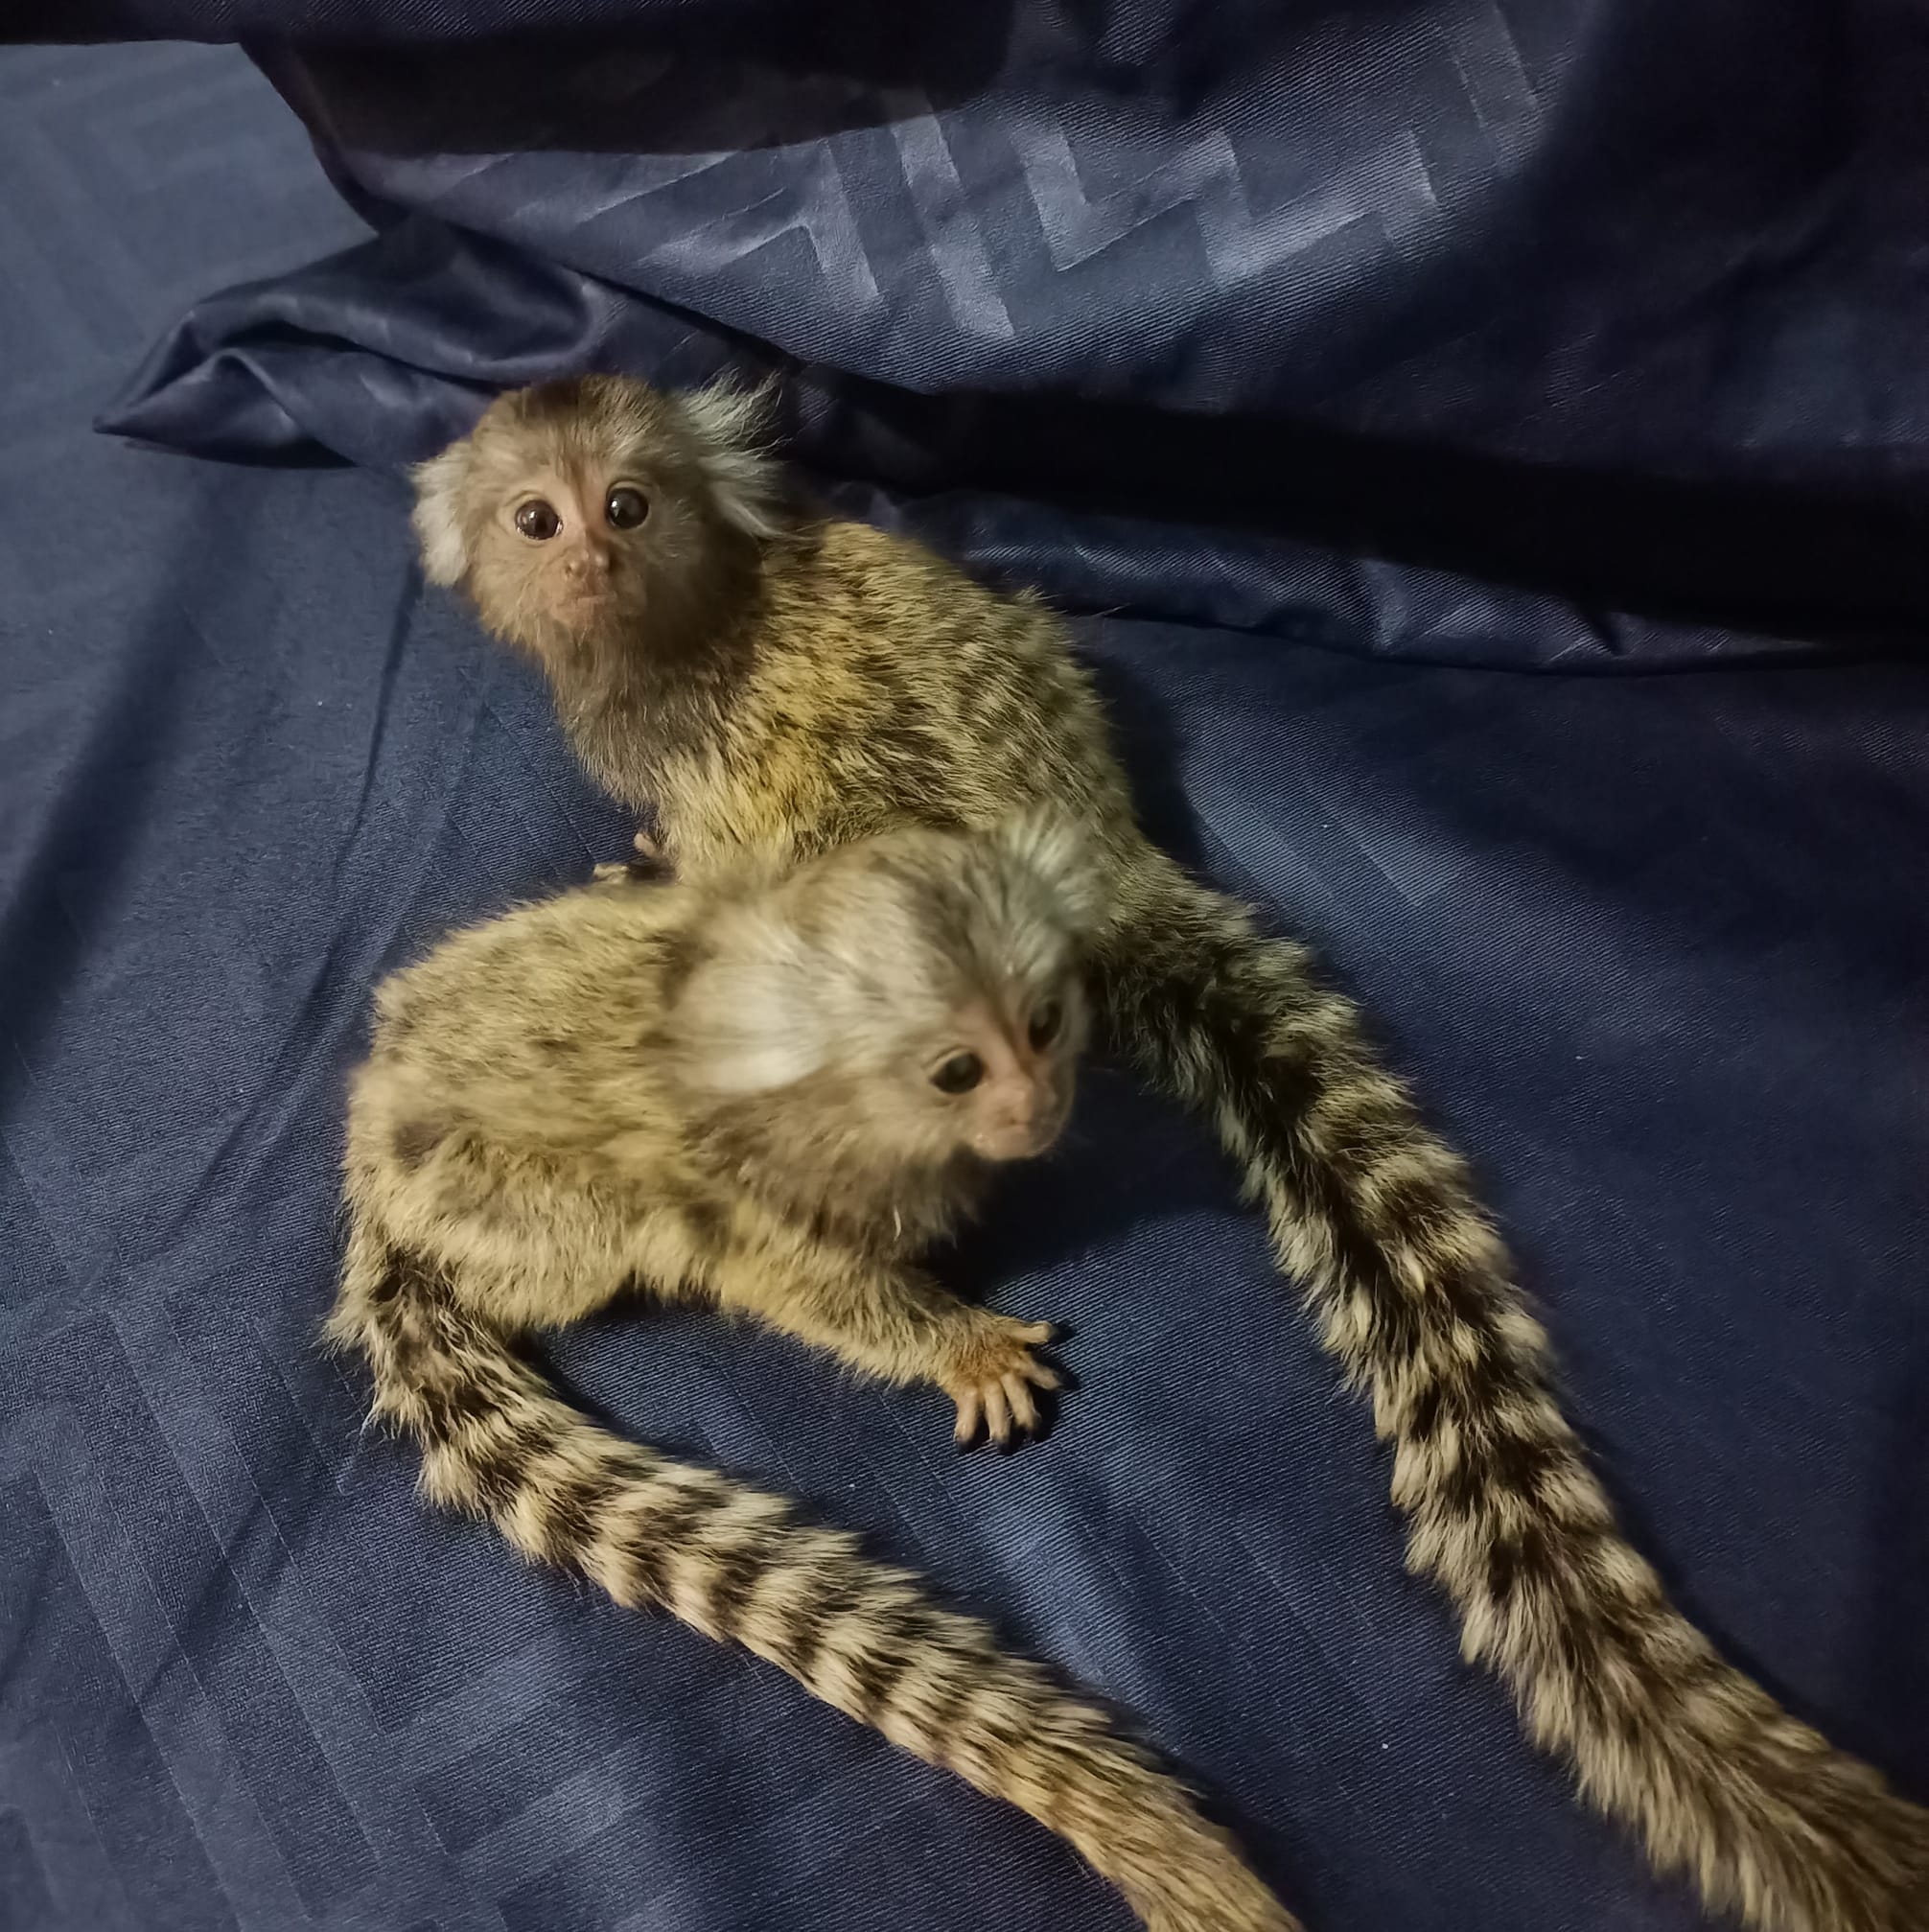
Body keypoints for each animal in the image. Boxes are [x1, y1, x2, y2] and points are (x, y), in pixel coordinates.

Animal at [326, 821, 1298, 1932]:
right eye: (958, 1070)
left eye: (1043, 1025)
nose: (1036, 1098)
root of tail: (373, 1169)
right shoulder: (760, 1191)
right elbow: (801, 1285)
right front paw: (960, 1347)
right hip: (505, 1205)